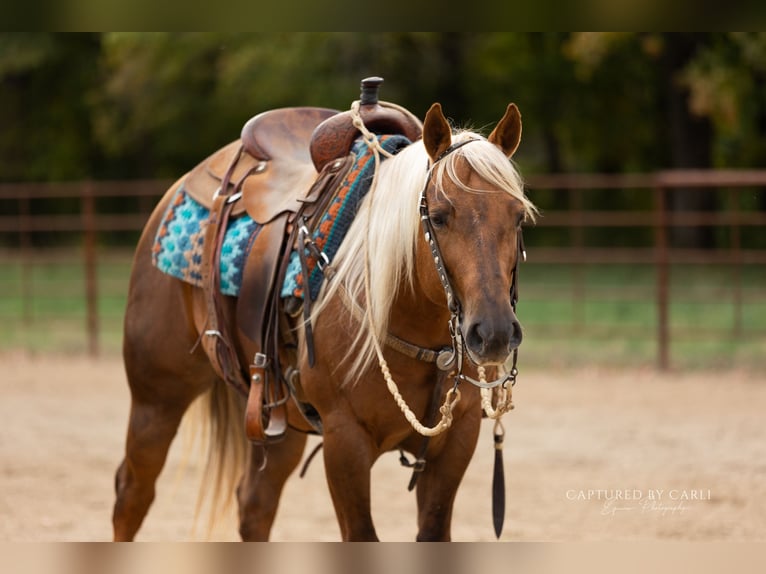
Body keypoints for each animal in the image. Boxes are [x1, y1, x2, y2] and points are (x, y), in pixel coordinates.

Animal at [112, 96, 536, 541]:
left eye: (518, 217)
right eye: (438, 216)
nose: (493, 333)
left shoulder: (457, 439)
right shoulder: (344, 440)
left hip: (274, 419)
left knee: (254, 504)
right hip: (157, 398)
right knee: (132, 491)